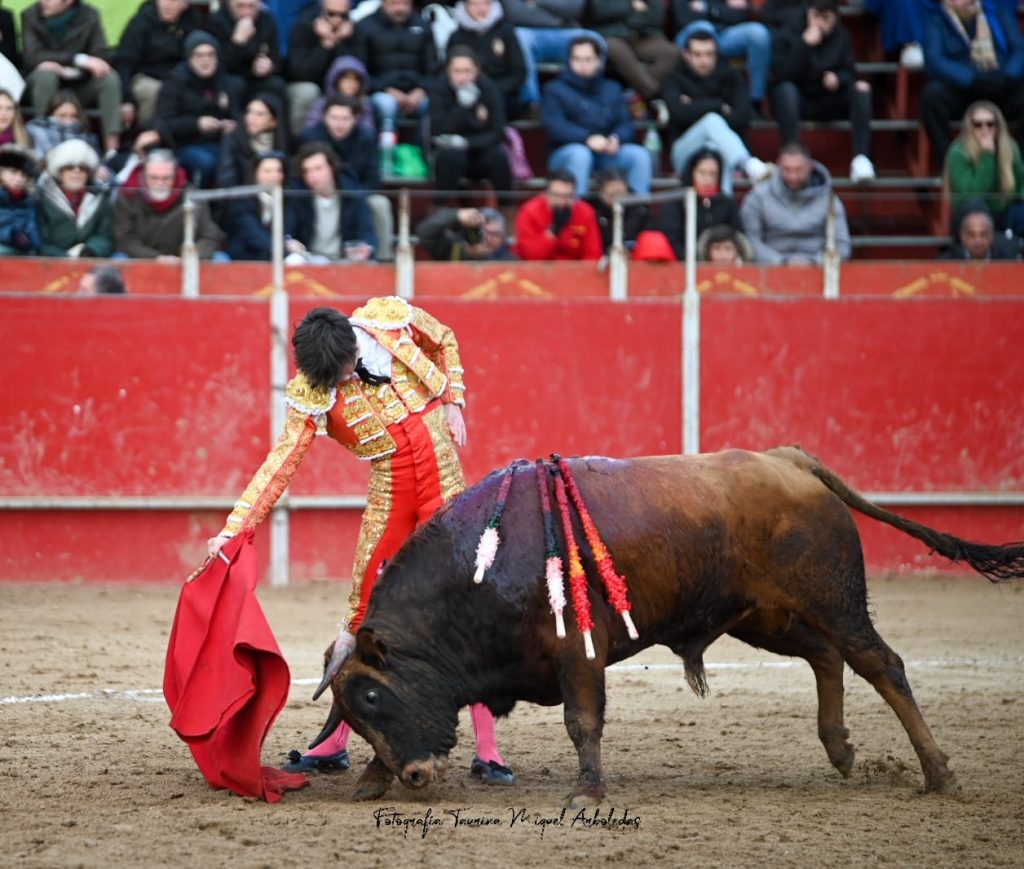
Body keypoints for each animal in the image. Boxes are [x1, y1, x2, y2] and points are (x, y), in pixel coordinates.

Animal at [311, 448, 1024, 806]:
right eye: (354, 710)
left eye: (372, 694)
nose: (415, 778)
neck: (482, 567)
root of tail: (790, 461)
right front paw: (372, 777)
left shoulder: (578, 653)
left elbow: (582, 721)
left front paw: (589, 790)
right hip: (763, 616)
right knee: (825, 657)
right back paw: (841, 749)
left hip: (834, 598)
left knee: (881, 664)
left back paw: (939, 775)